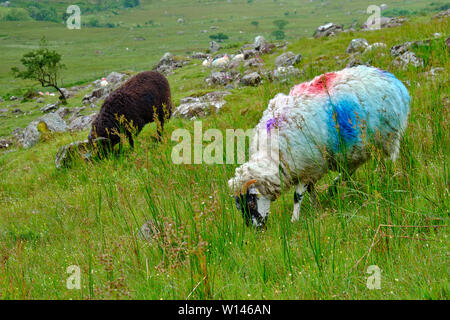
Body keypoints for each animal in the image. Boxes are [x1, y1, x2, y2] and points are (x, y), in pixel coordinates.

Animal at [229, 65, 412, 226]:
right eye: (238, 207)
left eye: (251, 203)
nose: (256, 229)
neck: (275, 153)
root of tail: (392, 79)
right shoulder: (308, 169)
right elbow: (311, 190)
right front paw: (315, 207)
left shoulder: (307, 166)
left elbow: (297, 195)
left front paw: (295, 219)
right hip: (360, 148)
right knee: (353, 167)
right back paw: (336, 187)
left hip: (388, 136)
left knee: (386, 162)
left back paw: (385, 180)